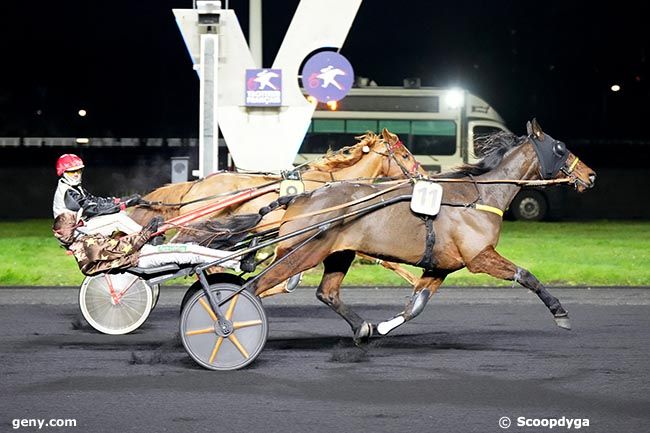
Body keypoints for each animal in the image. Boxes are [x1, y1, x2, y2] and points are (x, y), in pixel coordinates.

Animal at [242, 119, 592, 340]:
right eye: (560, 148)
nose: (590, 175)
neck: (479, 196)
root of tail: (300, 195)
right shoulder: (480, 257)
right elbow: (526, 275)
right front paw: (560, 313)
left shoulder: (441, 266)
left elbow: (416, 306)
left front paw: (381, 328)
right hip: (300, 253)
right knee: (253, 288)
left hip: (339, 253)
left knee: (326, 292)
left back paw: (361, 327)